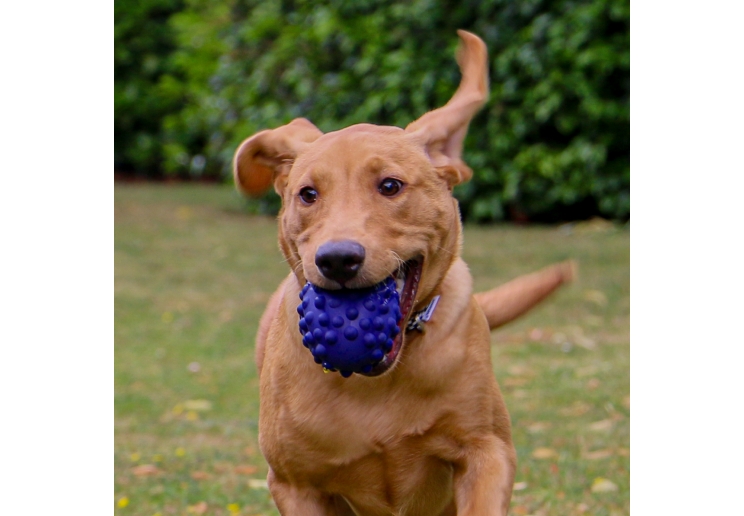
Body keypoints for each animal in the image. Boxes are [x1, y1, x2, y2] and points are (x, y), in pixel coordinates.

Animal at [232, 31, 576, 516]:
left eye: (390, 186)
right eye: (308, 194)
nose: (337, 259)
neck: (378, 382)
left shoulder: (488, 450)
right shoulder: (293, 483)